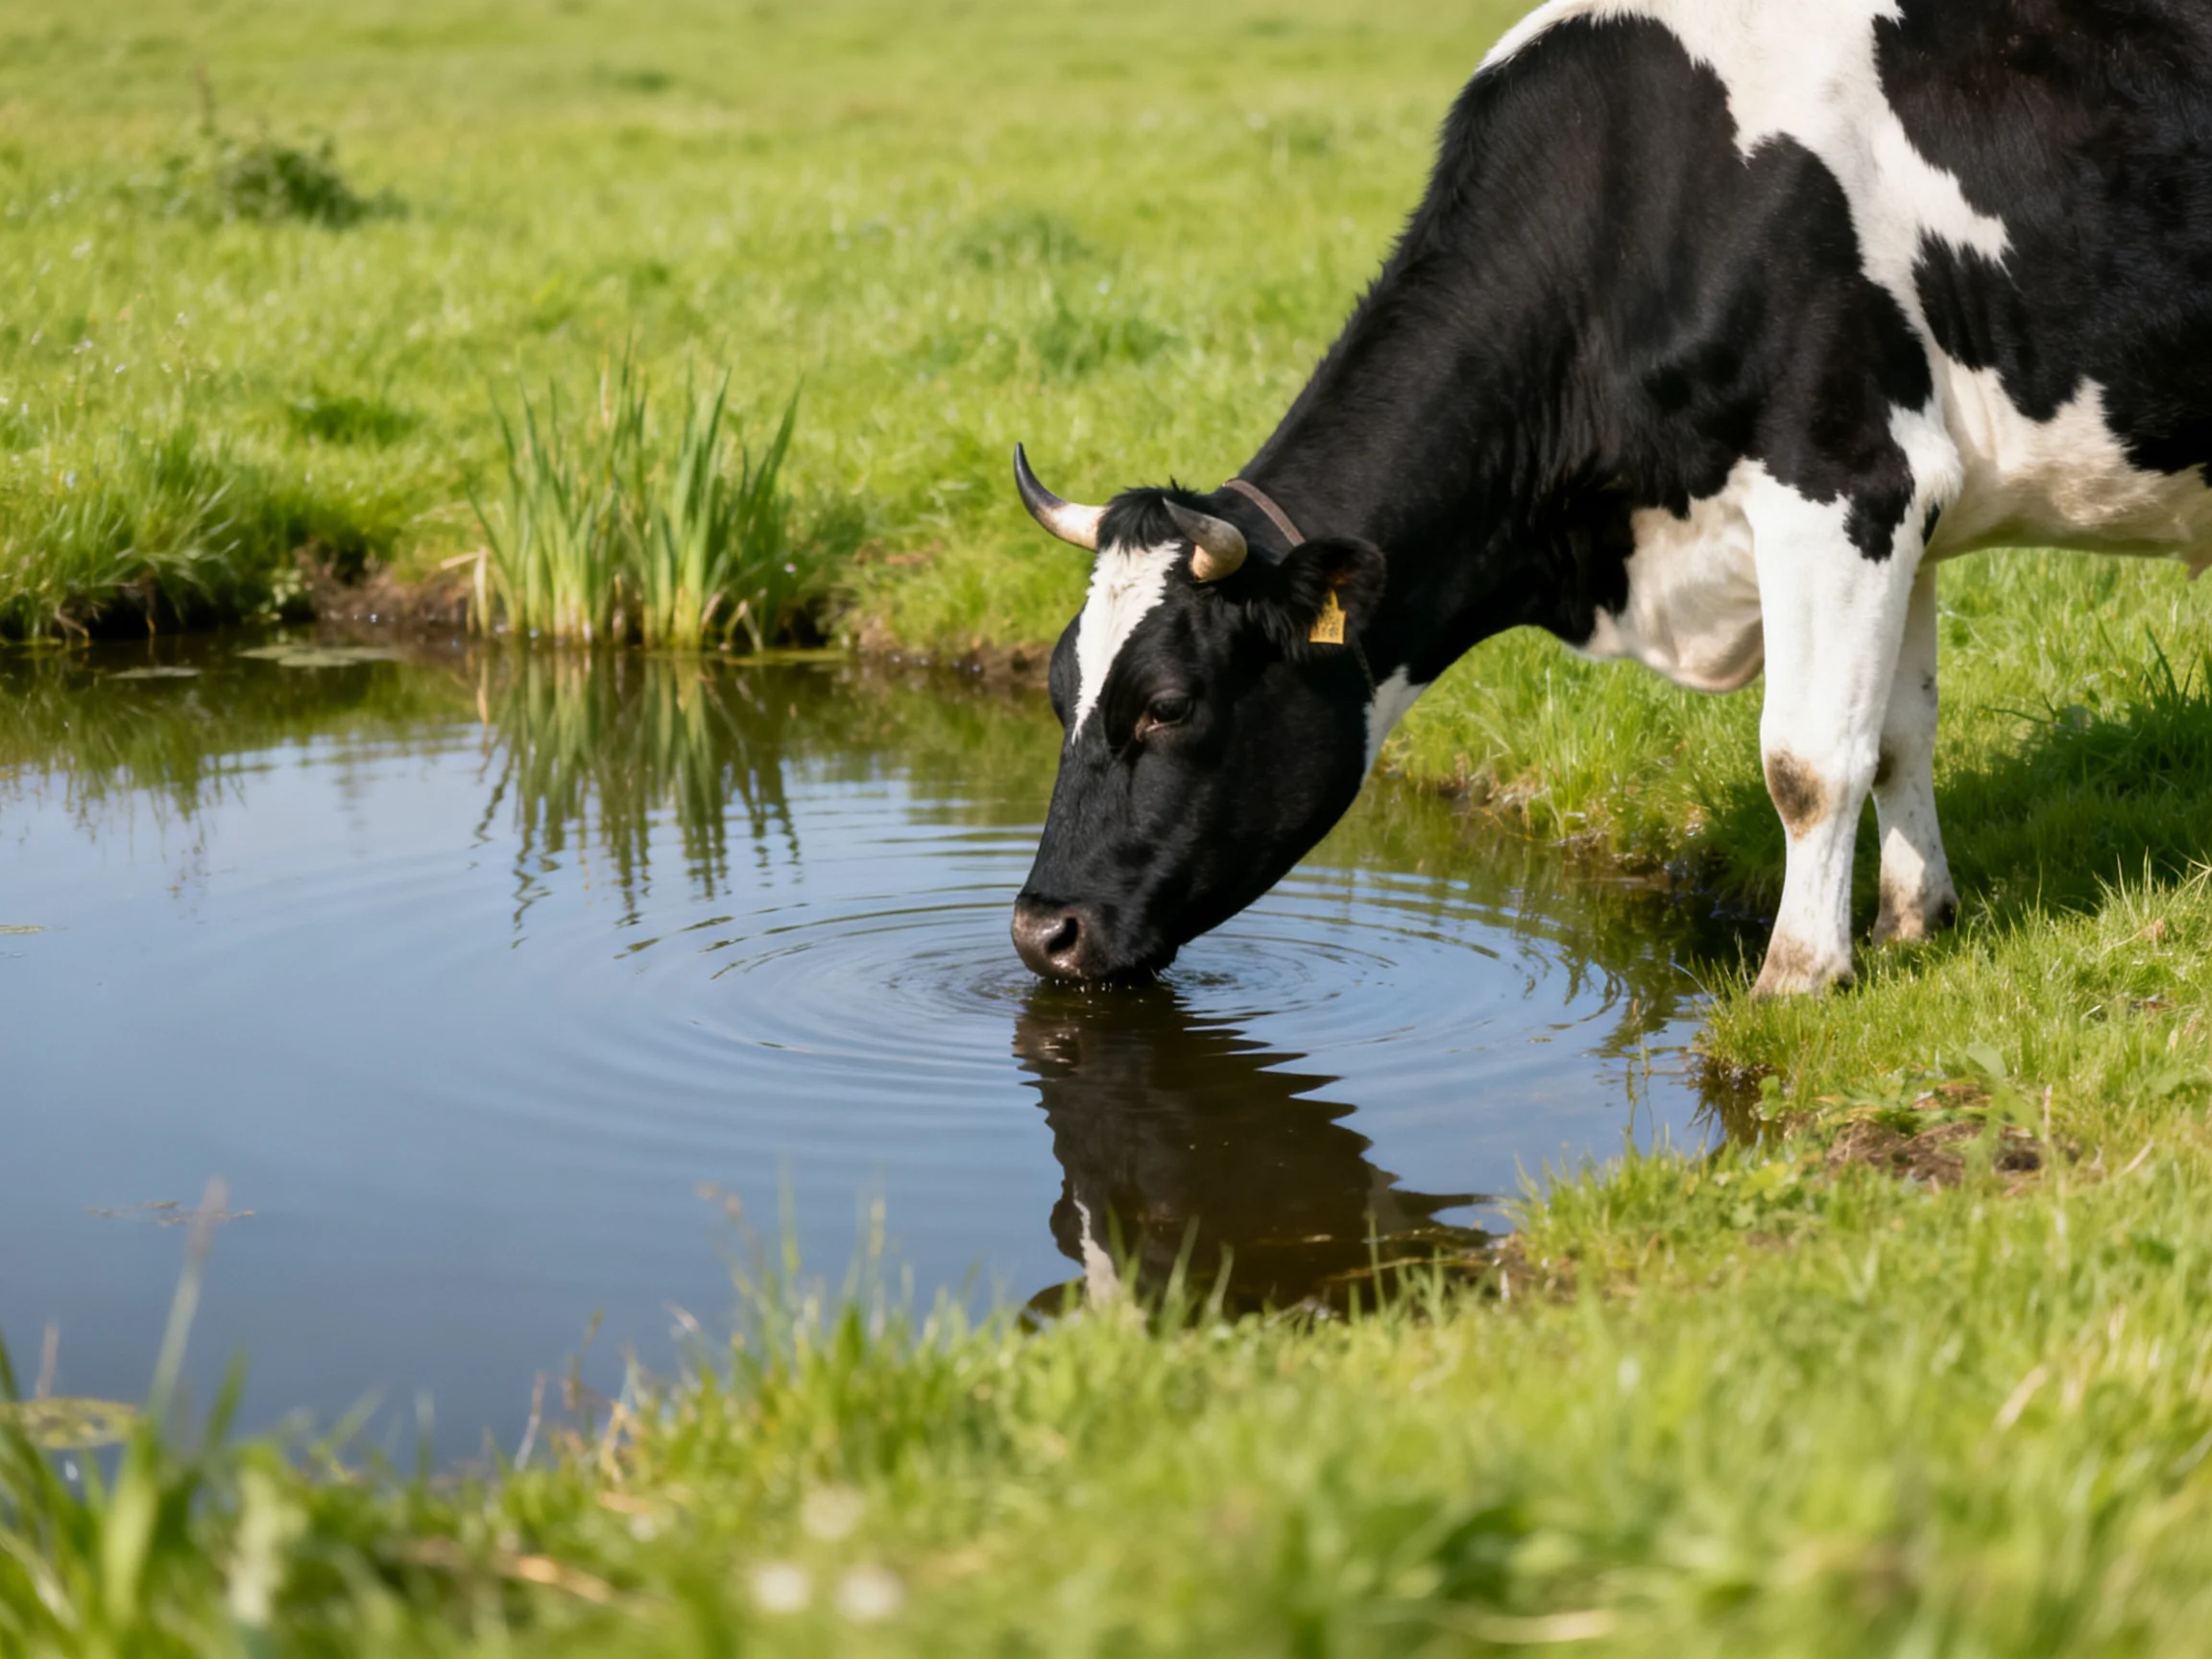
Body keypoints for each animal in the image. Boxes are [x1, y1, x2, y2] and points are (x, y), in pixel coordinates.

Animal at [1009, 0, 2212, 995]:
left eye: (1170, 706)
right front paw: (1910, 928)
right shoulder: (1909, 504)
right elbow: (1896, 734)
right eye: (1059, 686)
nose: (1040, 933)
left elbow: (1809, 761)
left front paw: (1798, 978)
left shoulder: (1844, 479)